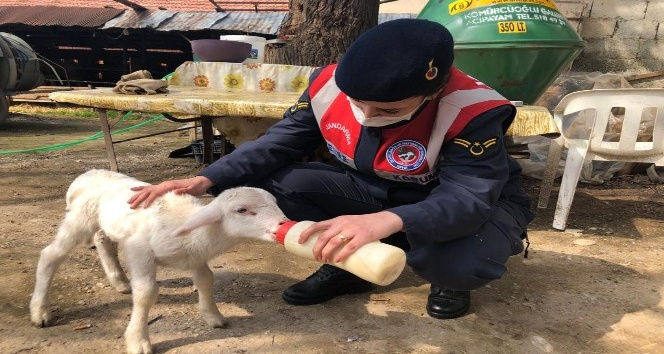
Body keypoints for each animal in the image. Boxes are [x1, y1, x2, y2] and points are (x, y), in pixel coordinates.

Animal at [29, 169, 288, 354]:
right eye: (241, 210)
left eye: (275, 202)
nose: (283, 225)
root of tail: (86, 175)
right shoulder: (138, 251)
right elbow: (146, 293)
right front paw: (138, 340)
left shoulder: (195, 256)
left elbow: (206, 280)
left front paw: (213, 316)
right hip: (80, 219)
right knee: (50, 255)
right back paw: (40, 311)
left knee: (102, 241)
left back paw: (119, 281)